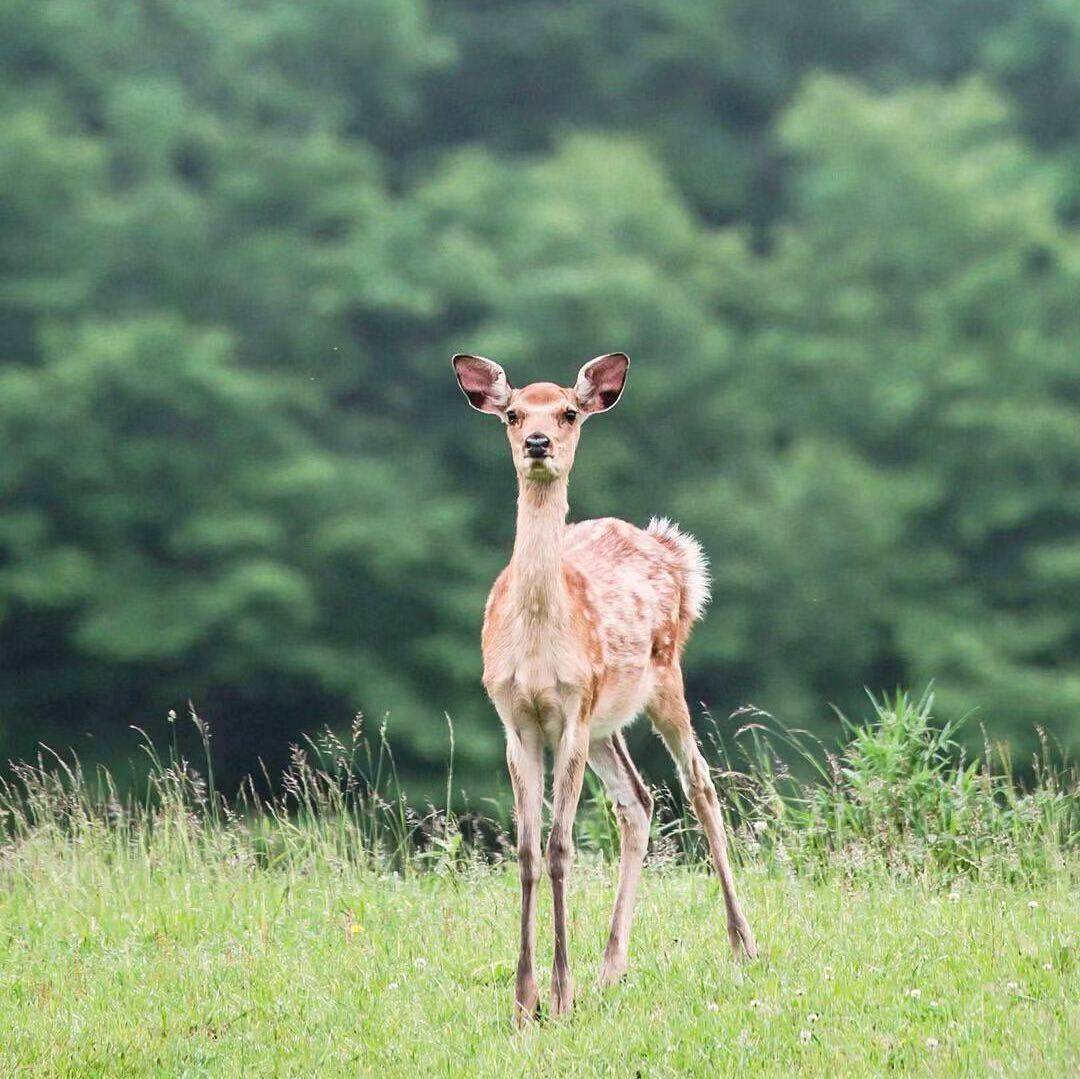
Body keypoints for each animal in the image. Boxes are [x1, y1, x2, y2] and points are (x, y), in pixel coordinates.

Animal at [451, 354, 756, 1028]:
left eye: (569, 412)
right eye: (513, 414)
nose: (539, 443)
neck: (539, 650)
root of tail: (671, 548)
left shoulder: (570, 710)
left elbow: (561, 847)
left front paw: (558, 996)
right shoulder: (517, 720)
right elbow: (527, 850)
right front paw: (524, 1000)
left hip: (662, 675)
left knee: (699, 784)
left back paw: (744, 943)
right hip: (602, 724)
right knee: (637, 801)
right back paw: (611, 967)